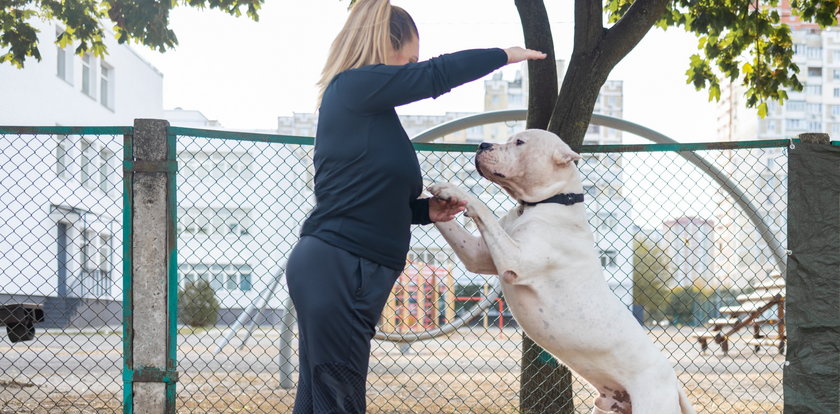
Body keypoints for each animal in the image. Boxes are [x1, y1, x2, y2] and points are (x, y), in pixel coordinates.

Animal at [426, 129, 696, 414]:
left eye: (519, 142)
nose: (482, 145)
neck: (550, 202)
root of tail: (673, 382)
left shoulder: (514, 259)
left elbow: (483, 209)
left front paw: (453, 190)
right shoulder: (476, 255)